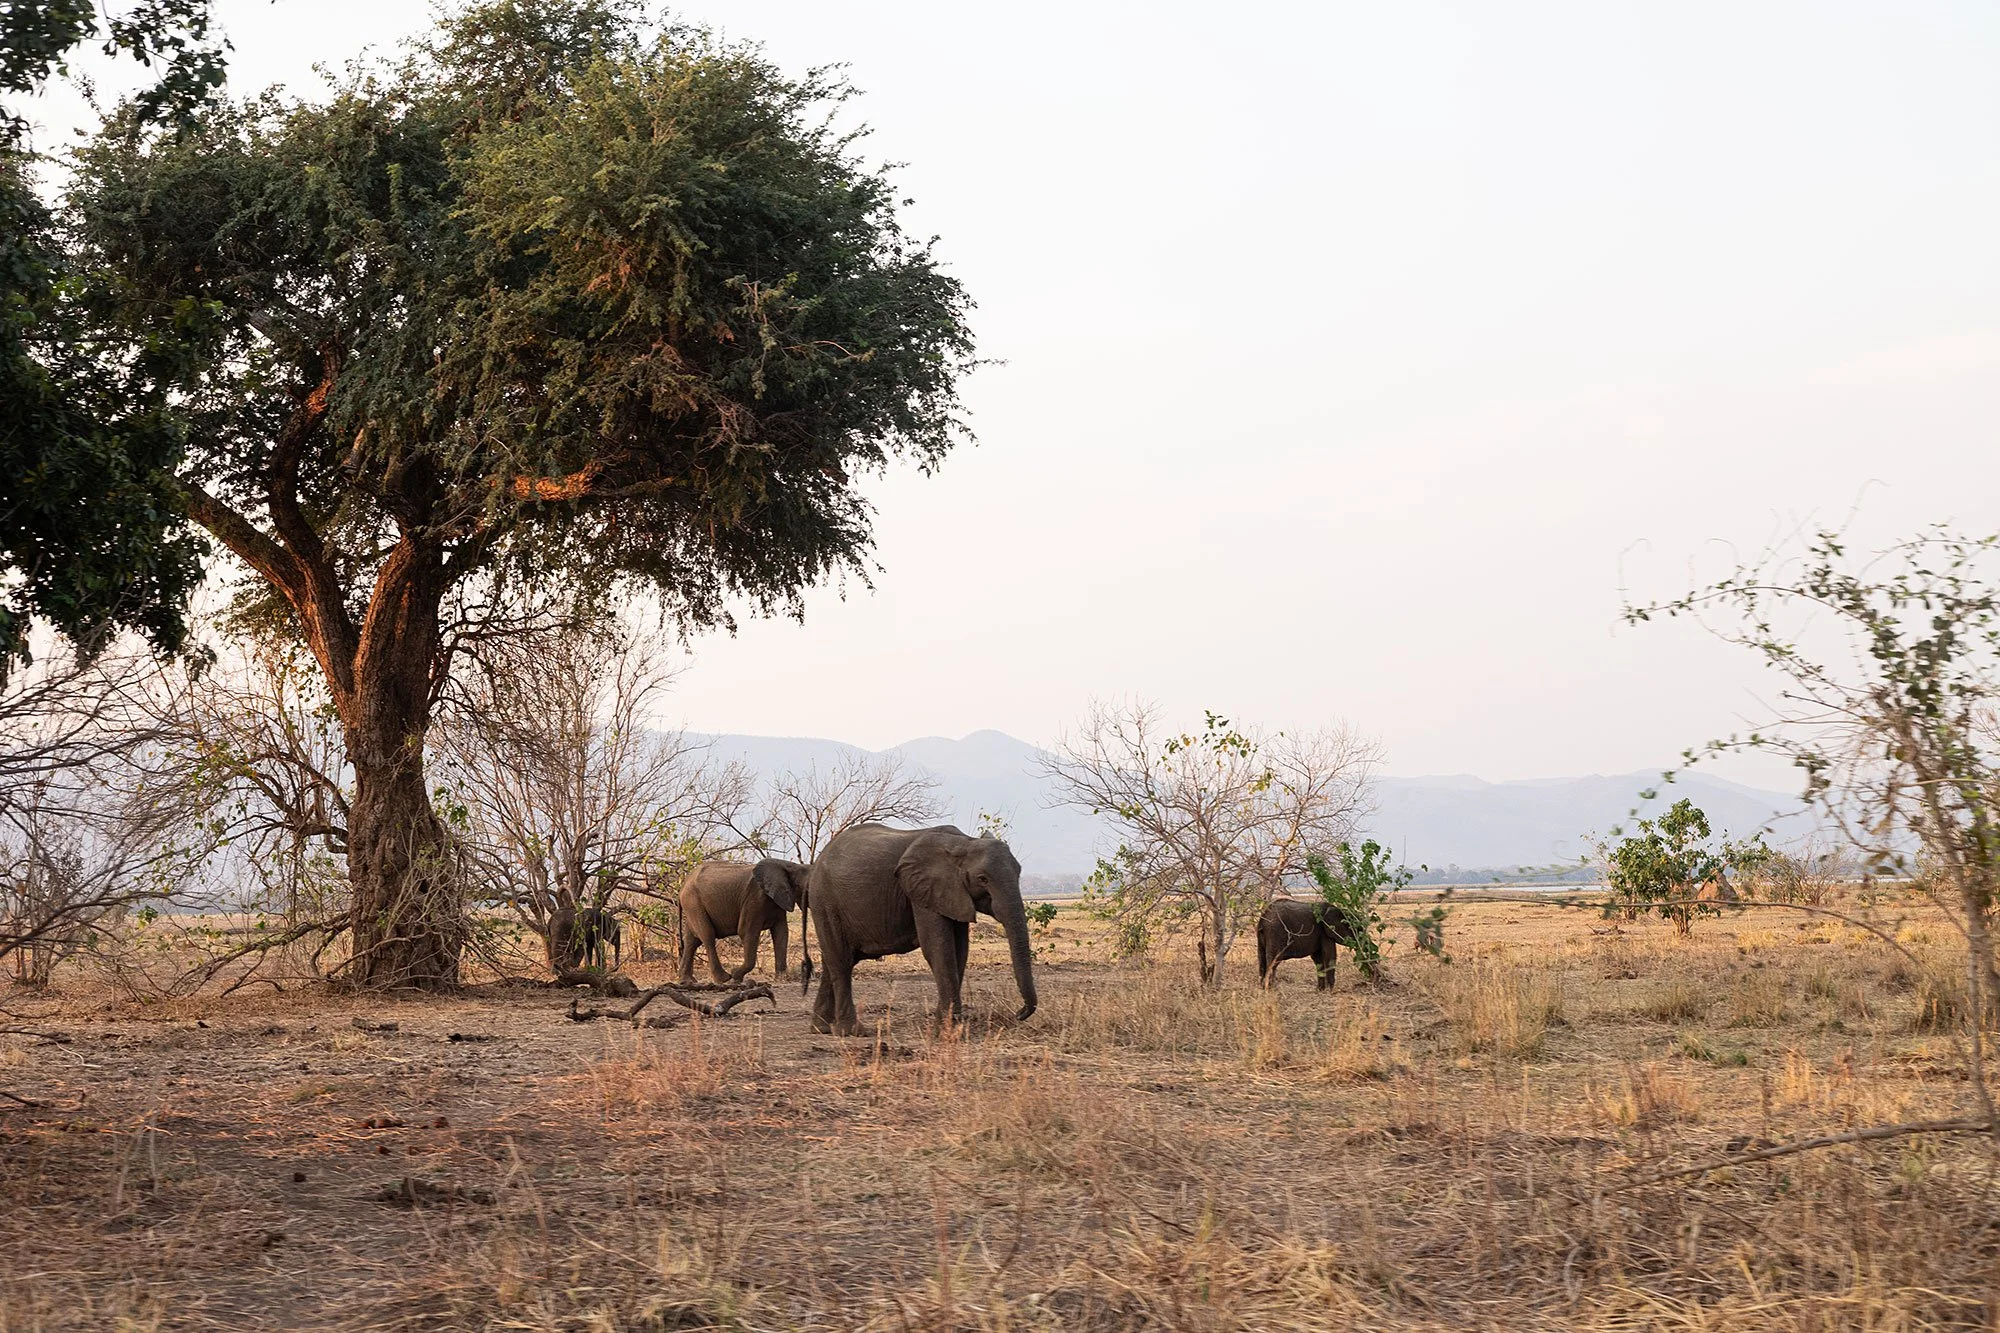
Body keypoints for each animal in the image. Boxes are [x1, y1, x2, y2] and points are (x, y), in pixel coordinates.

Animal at [678, 858, 812, 984]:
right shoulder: (754, 899)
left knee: (692, 940)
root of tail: (684, 883)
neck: (789, 866)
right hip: (693, 902)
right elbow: (747, 931)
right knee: (707, 935)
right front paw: (735, 975)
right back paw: (724, 979)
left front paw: (781, 979)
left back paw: (687, 981)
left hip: (692, 905)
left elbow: (781, 933)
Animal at [807, 823, 1037, 1036]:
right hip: (825, 902)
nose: (1019, 1013)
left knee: (834, 961)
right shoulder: (924, 891)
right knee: (841, 961)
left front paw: (947, 1028)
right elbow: (938, 948)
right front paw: (947, 1033)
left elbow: (959, 951)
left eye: (1019, 873)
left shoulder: (952, 894)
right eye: (983, 879)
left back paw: (821, 1028)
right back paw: (852, 1032)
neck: (964, 842)